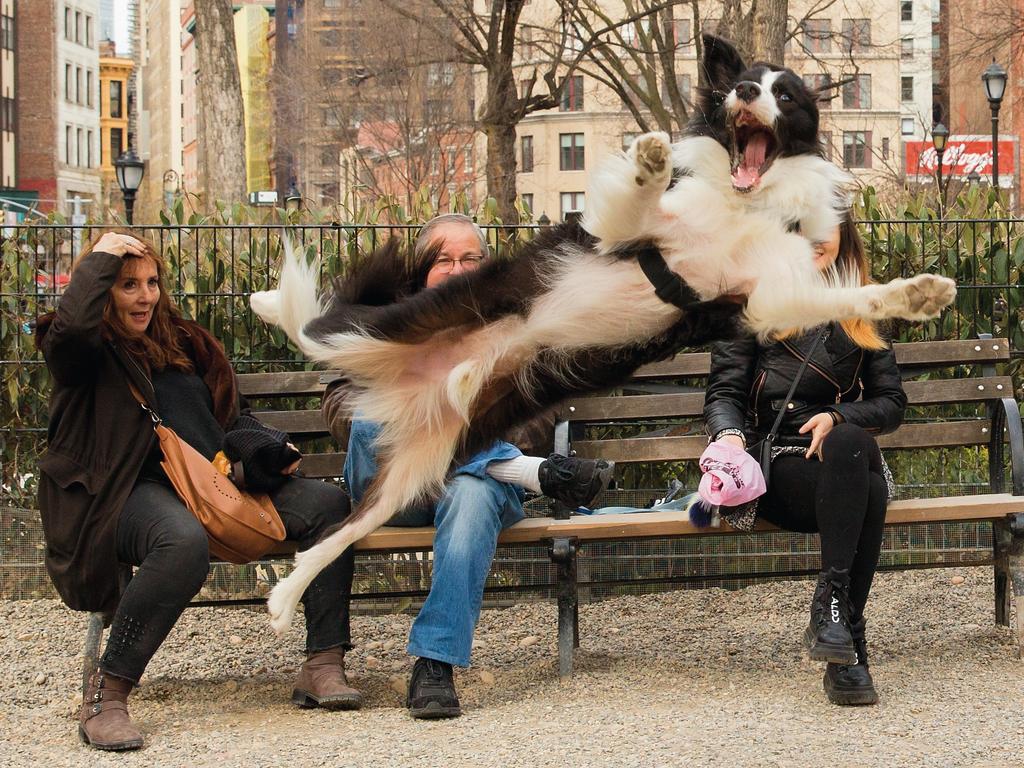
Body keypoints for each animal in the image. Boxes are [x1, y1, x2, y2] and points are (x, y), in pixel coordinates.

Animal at [251, 36, 954, 634]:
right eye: (745, 84)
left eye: (786, 95)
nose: (747, 94)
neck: (742, 200)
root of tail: (405, 384)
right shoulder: (631, 233)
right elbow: (640, 198)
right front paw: (651, 156)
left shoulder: (765, 298)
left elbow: (846, 296)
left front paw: (915, 294)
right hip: (389, 324)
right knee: (315, 331)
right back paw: (270, 300)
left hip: (419, 466)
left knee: (343, 530)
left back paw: (286, 596)